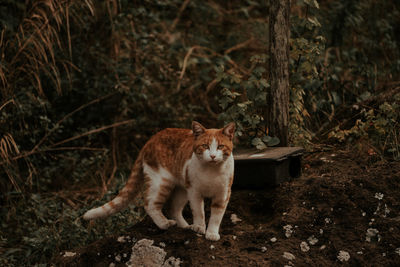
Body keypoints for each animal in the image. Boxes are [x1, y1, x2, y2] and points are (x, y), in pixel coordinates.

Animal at [83, 122, 236, 242]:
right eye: (205, 146)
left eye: (220, 146)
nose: (212, 156)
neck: (211, 171)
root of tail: (152, 138)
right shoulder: (194, 192)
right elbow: (199, 211)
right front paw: (199, 227)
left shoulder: (223, 194)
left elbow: (216, 216)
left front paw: (211, 233)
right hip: (161, 182)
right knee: (150, 205)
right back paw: (164, 223)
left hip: (181, 189)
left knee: (174, 208)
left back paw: (185, 226)